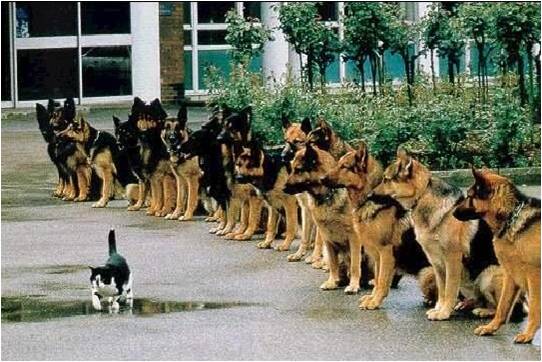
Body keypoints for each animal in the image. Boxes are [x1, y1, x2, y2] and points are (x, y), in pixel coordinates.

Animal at [284, 144, 366, 294]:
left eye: (298, 169)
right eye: (292, 168)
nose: (283, 188)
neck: (327, 195)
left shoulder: (354, 237)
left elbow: (355, 264)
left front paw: (353, 285)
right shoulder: (325, 234)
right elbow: (332, 262)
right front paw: (332, 282)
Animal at [324, 141, 434, 308]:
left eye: (344, 166)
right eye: (338, 164)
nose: (321, 179)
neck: (369, 199)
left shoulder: (385, 252)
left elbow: (381, 281)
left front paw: (374, 302)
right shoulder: (376, 255)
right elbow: (377, 279)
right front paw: (372, 298)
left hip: (426, 273)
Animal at [456, 167, 540, 342]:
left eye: (469, 196)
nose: (453, 212)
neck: (511, 215)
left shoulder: (534, 276)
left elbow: (535, 309)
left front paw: (528, 334)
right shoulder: (511, 275)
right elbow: (503, 306)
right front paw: (490, 328)